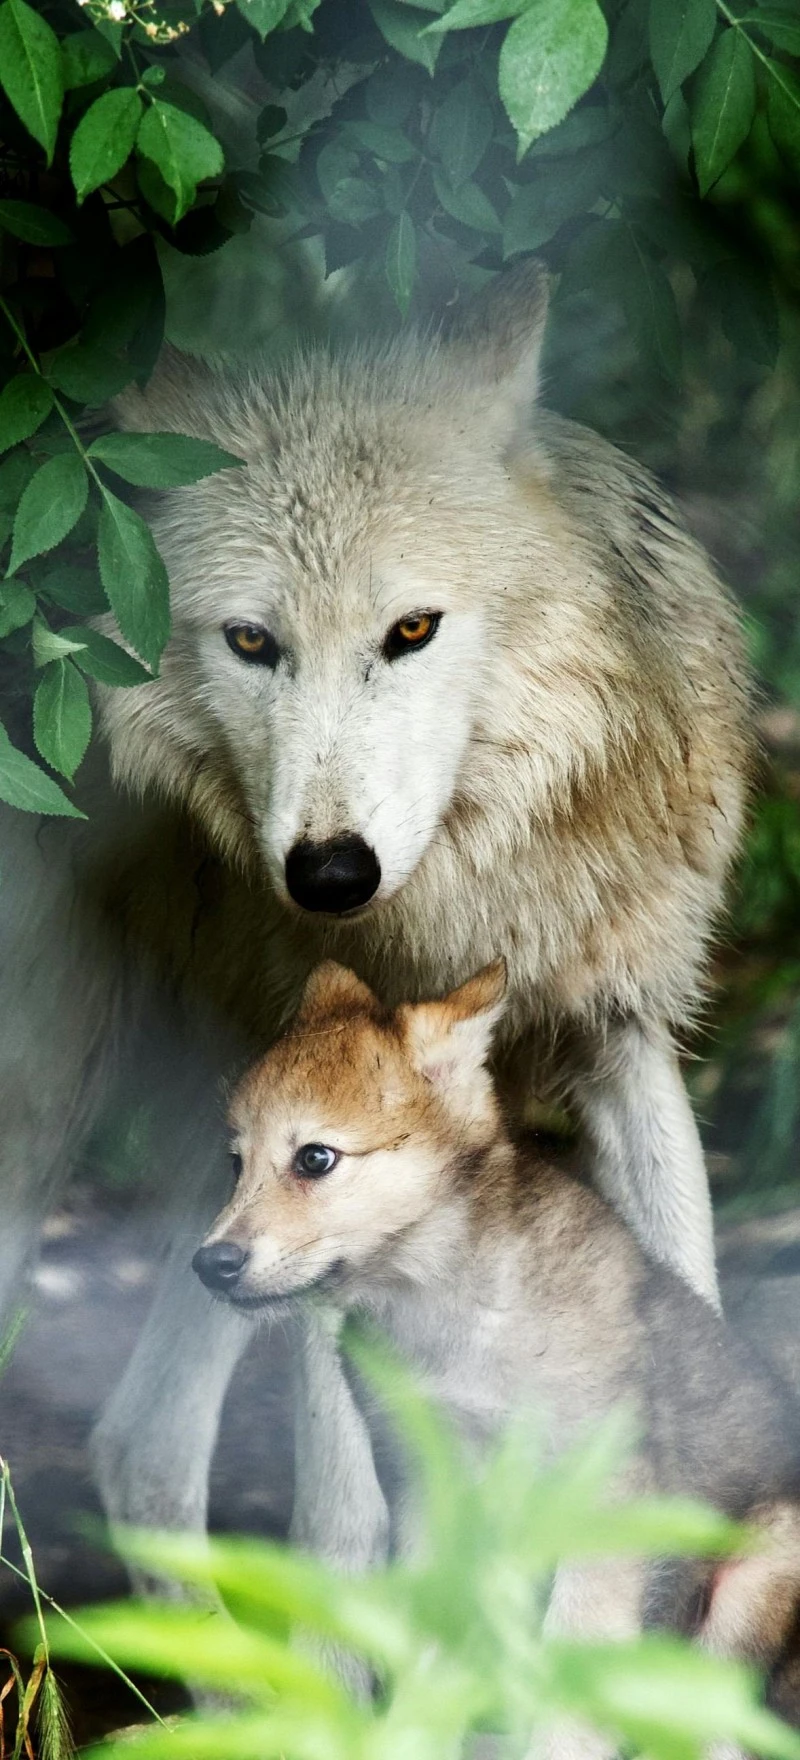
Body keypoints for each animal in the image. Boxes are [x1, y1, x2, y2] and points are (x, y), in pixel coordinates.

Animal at [0, 264, 749, 1602]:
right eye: (251, 639)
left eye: (411, 629)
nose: (329, 872)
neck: (458, 916)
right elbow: (349, 1528)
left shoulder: (620, 1043)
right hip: (43, 1098)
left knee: (141, 1440)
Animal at [195, 956, 800, 1756]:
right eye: (235, 1164)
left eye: (315, 1158)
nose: (210, 1265)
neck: (449, 1313)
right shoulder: (433, 1491)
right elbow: (429, 1665)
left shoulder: (600, 1501)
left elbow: (569, 1692)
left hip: (743, 1595)